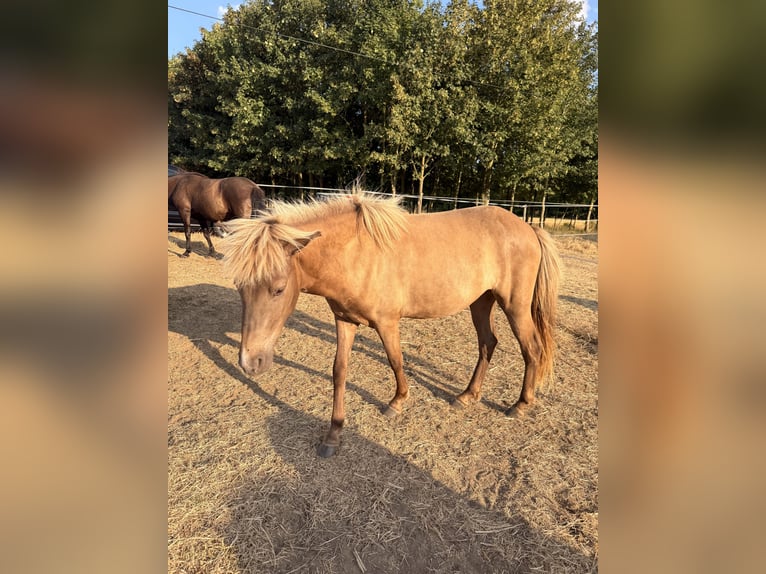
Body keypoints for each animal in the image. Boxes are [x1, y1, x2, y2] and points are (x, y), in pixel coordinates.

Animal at [221, 193, 562, 457]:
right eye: (239, 287)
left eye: (278, 289)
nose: (250, 362)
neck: (356, 253)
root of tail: (528, 227)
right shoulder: (345, 321)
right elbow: (339, 371)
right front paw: (333, 434)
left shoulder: (387, 323)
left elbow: (395, 360)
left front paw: (397, 403)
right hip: (481, 301)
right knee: (487, 343)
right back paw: (467, 396)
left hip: (514, 305)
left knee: (531, 348)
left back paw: (521, 404)